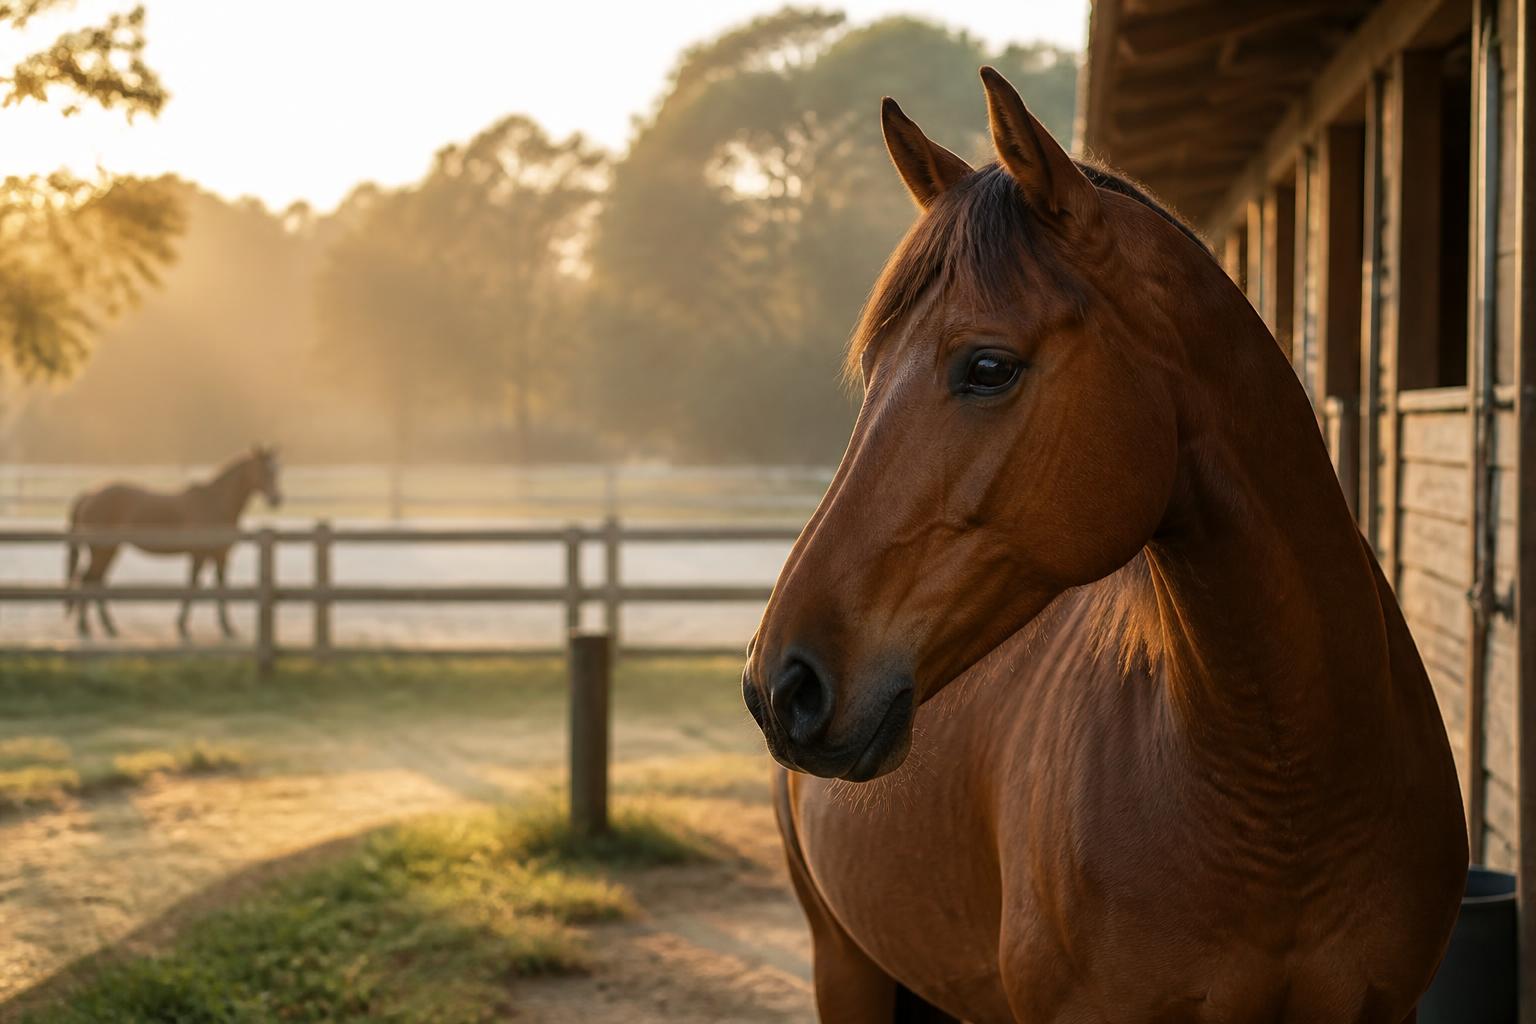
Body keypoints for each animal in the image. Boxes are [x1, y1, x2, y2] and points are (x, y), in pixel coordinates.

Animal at [65, 445, 283, 639]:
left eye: (277, 469)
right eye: (263, 469)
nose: (276, 499)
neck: (214, 503)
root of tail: (89, 495)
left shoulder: (220, 555)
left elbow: (221, 587)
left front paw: (226, 627)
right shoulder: (200, 554)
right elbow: (193, 585)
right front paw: (183, 626)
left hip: (109, 550)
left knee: (96, 581)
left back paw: (108, 627)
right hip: (102, 550)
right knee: (87, 579)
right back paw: (85, 626)